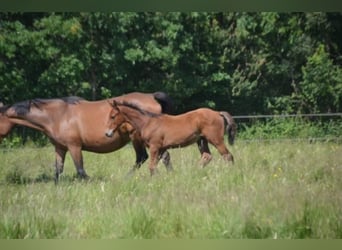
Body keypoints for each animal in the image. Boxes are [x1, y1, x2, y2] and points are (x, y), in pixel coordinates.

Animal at [0, 92, 174, 182]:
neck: (57, 115)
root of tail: (152, 96)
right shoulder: (60, 148)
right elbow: (58, 171)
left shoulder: (74, 147)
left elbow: (81, 170)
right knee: (162, 157)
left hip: (139, 138)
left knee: (144, 157)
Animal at [105, 100, 236, 175]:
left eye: (113, 116)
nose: (107, 133)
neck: (147, 122)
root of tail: (218, 112)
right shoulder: (161, 148)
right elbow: (158, 164)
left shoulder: (154, 147)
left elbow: (151, 166)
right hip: (201, 140)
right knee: (207, 156)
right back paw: (193, 173)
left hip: (215, 139)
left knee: (227, 156)